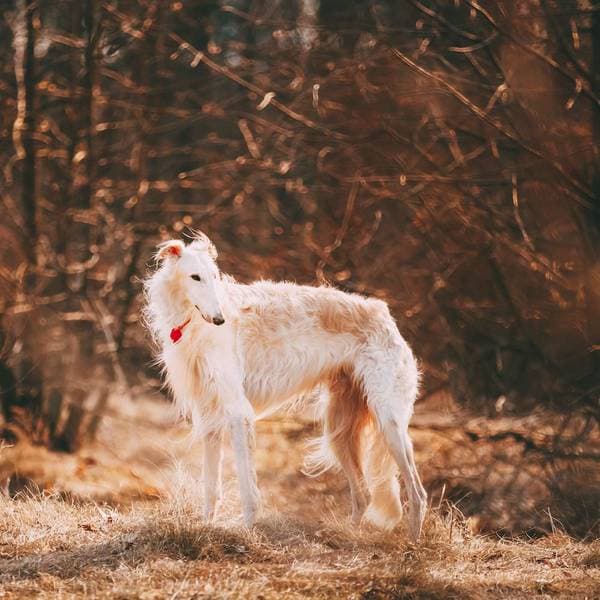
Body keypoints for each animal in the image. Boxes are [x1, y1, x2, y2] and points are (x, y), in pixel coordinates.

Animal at [144, 232, 426, 540]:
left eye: (214, 276)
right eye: (195, 277)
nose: (219, 319)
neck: (193, 323)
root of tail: (385, 315)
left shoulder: (239, 413)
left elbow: (247, 487)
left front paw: (247, 529)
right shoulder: (210, 416)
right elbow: (211, 486)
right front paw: (206, 526)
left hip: (389, 422)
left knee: (418, 493)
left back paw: (413, 543)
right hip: (339, 429)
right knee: (363, 496)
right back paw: (347, 535)